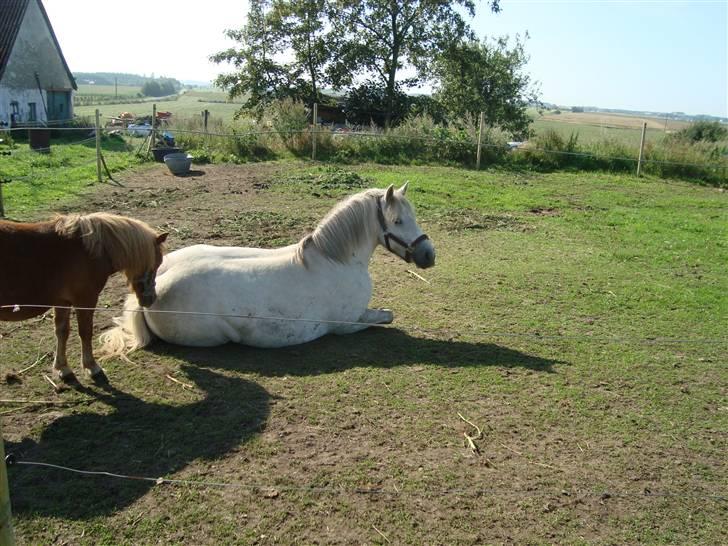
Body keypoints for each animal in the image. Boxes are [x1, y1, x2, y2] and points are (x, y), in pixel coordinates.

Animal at [0, 210, 166, 380]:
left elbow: (62, 332)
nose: (150, 299)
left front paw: (62, 368)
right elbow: (85, 332)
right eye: (157, 263)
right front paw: (91, 366)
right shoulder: (86, 300)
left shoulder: (62, 302)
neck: (90, 251)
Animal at [99, 183, 436, 352]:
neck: (334, 260)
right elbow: (387, 317)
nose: (429, 255)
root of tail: (149, 293)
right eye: (397, 221)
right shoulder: (348, 324)